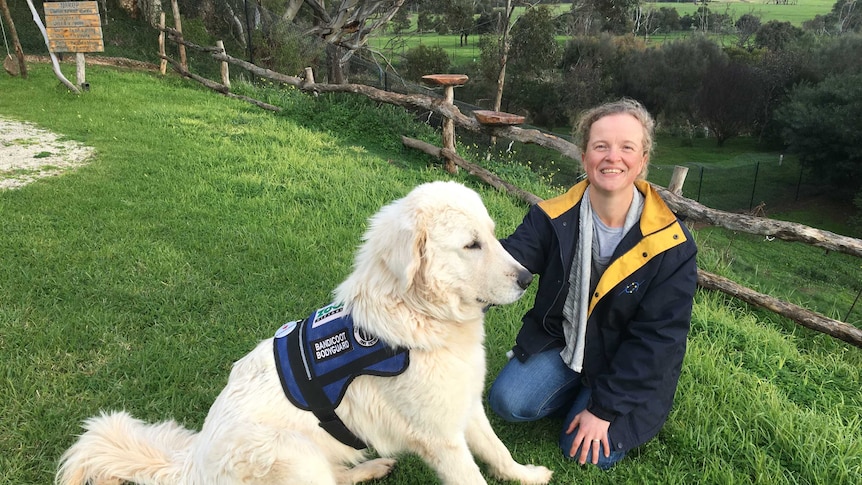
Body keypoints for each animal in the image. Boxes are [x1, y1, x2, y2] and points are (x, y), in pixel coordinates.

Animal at [57, 182, 552, 484]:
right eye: (471, 245)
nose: (527, 278)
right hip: (297, 455)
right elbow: (475, 474)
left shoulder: (464, 410)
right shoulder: (442, 438)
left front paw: (528, 474)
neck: (415, 314)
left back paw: (373, 467)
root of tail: (192, 466)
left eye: (493, 236)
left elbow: (498, 453)